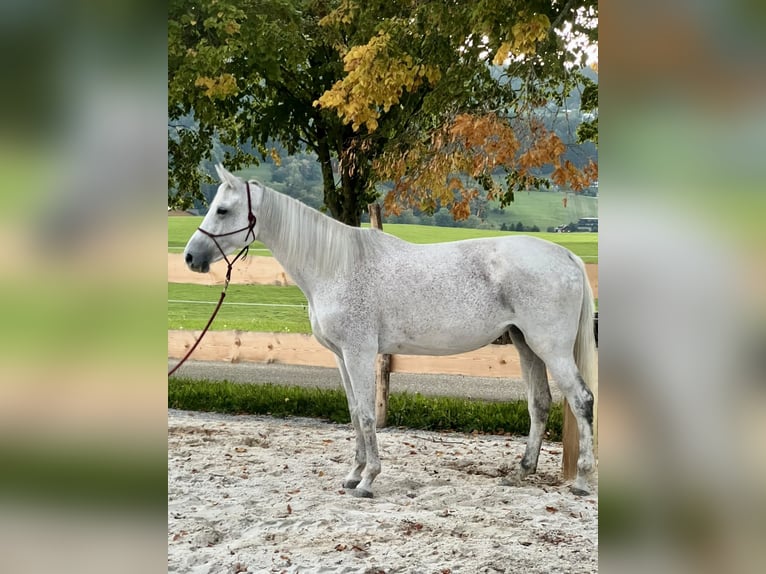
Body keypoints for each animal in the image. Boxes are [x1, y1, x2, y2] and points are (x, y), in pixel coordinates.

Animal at [183, 164, 597, 497]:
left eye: (222, 210)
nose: (191, 257)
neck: (336, 265)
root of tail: (566, 255)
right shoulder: (341, 356)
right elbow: (354, 413)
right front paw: (353, 474)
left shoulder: (359, 353)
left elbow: (367, 414)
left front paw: (368, 480)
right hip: (526, 345)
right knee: (539, 403)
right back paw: (521, 472)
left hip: (551, 348)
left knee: (581, 400)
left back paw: (581, 480)